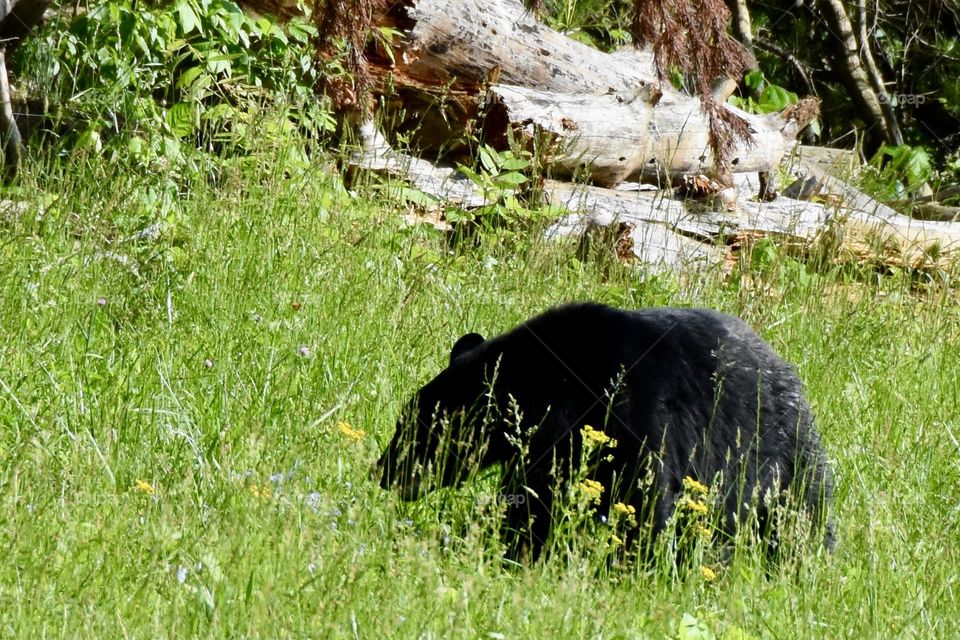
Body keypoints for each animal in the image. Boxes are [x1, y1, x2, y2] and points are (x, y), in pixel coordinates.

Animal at [377, 302, 834, 562]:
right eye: (405, 421)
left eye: (418, 427)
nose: (381, 473)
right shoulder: (550, 447)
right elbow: (533, 497)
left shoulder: (632, 411)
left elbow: (643, 494)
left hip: (783, 456)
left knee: (799, 516)